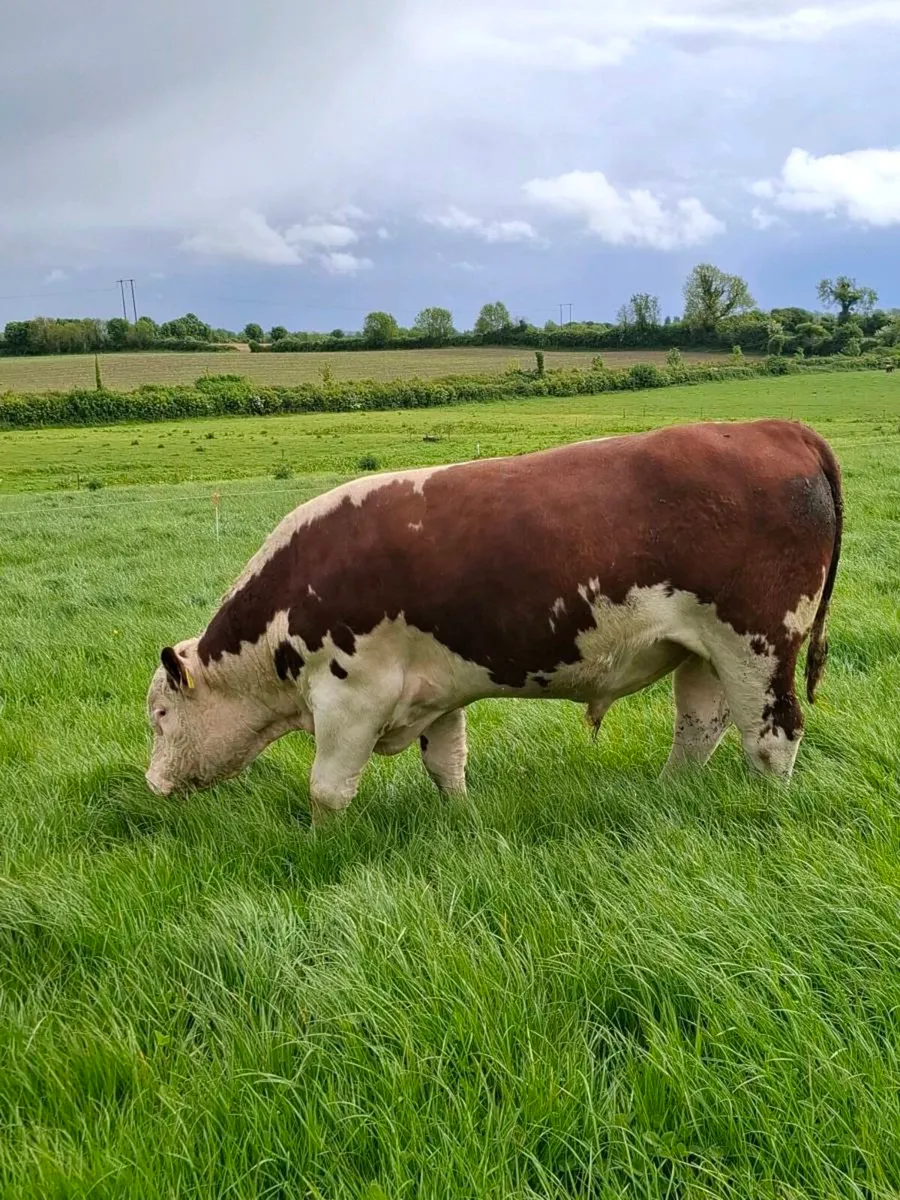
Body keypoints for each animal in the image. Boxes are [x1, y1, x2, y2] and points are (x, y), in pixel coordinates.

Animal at [146, 418, 843, 824]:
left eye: (159, 715)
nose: (152, 782)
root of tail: (778, 428)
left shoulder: (351, 696)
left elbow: (327, 790)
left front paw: (322, 846)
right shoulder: (434, 691)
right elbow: (445, 764)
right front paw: (463, 824)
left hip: (757, 642)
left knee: (772, 734)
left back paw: (767, 810)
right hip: (702, 650)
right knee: (700, 728)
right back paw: (668, 795)